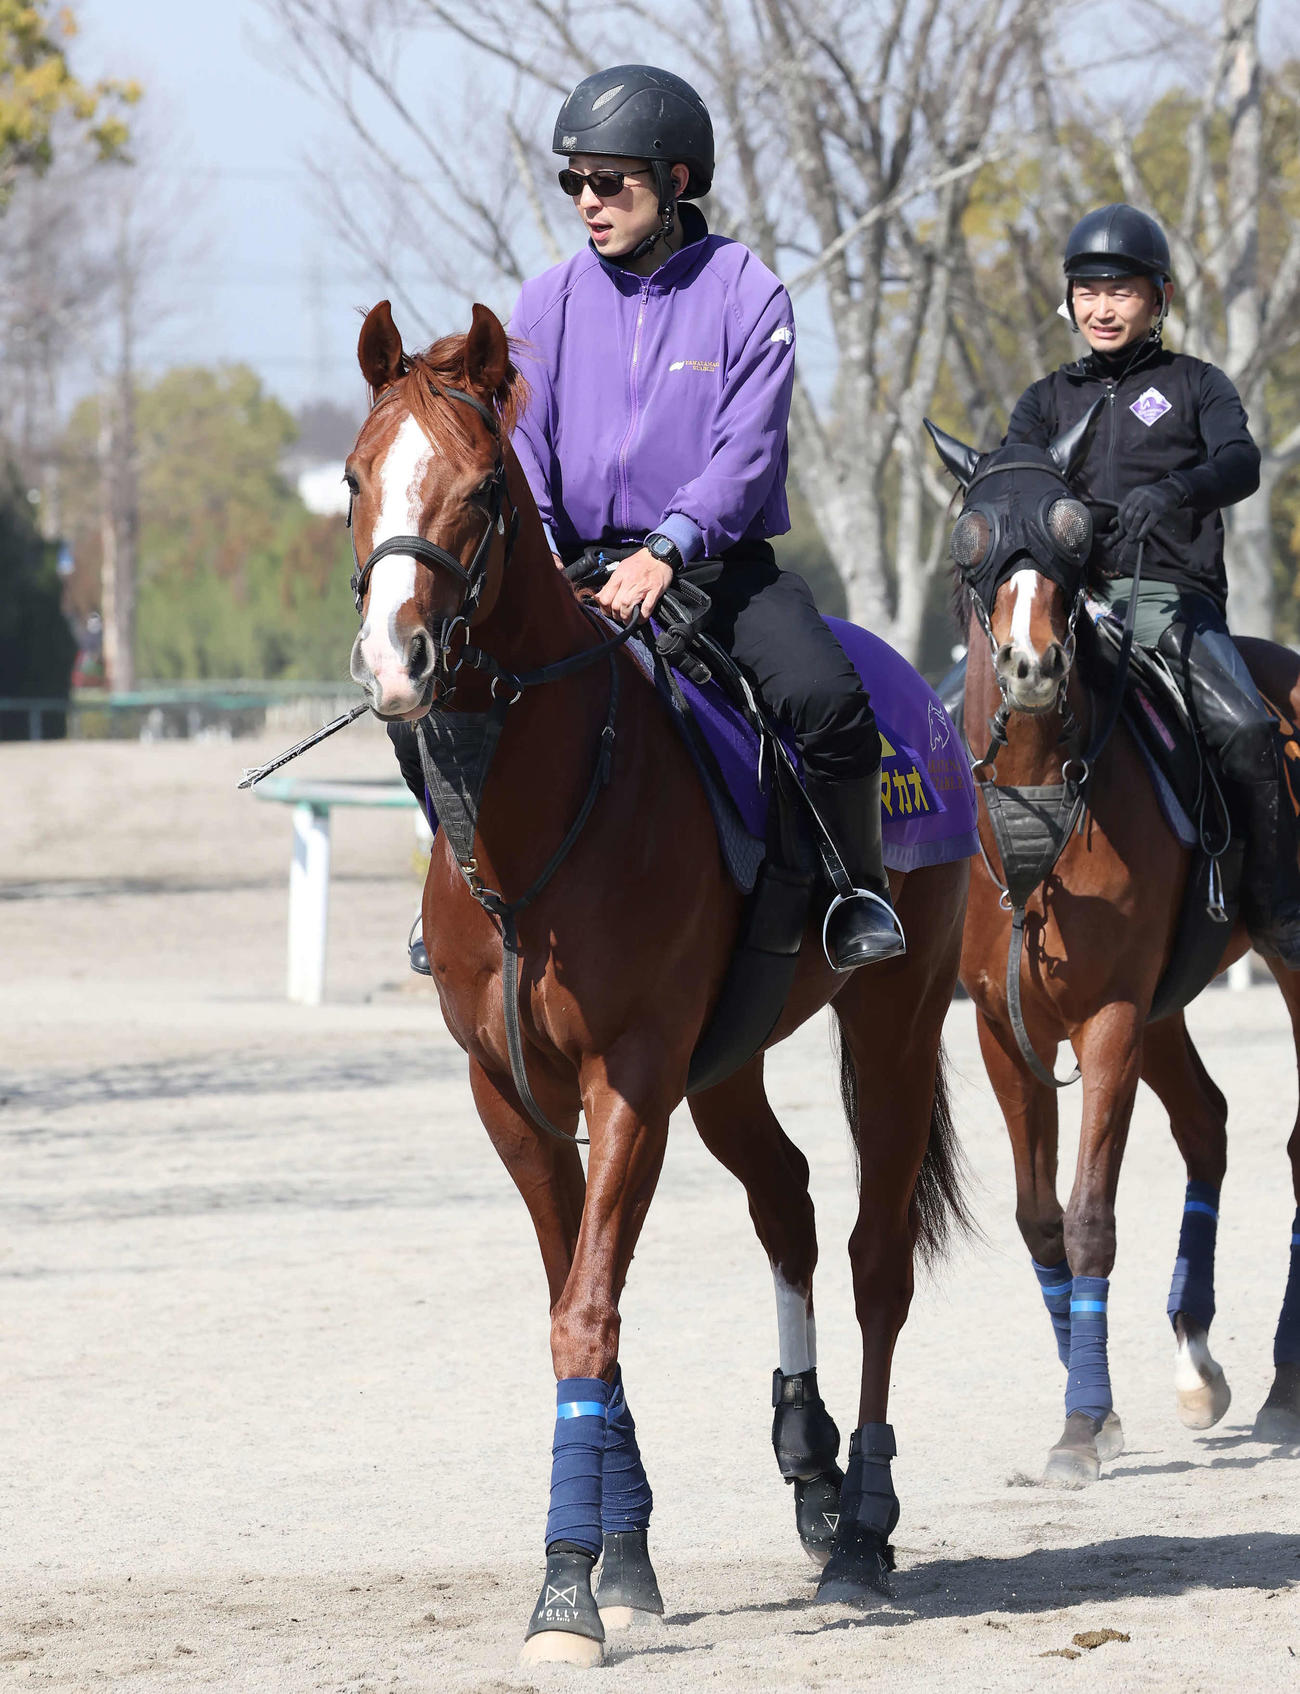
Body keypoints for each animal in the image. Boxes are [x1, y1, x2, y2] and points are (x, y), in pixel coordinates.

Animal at [342, 296, 974, 1666]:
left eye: (482, 488)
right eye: (358, 477)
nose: (395, 658)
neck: (535, 822)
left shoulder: (627, 1075)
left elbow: (587, 1308)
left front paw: (566, 1588)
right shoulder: (510, 1091)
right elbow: (573, 1292)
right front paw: (621, 1553)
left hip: (893, 1023)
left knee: (874, 1257)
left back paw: (862, 1526)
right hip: (723, 1061)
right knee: (787, 1202)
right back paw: (810, 1467)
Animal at [925, 417, 1300, 1486]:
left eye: (1077, 533)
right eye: (971, 536)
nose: (1031, 666)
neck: (1036, 789)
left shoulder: (1109, 1020)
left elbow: (1090, 1215)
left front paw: (1084, 1422)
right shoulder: (1007, 1032)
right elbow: (1040, 1219)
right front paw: (1095, 1413)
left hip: (1270, 964)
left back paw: (1282, 1386)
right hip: (1166, 1003)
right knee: (1208, 1125)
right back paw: (1198, 1363)